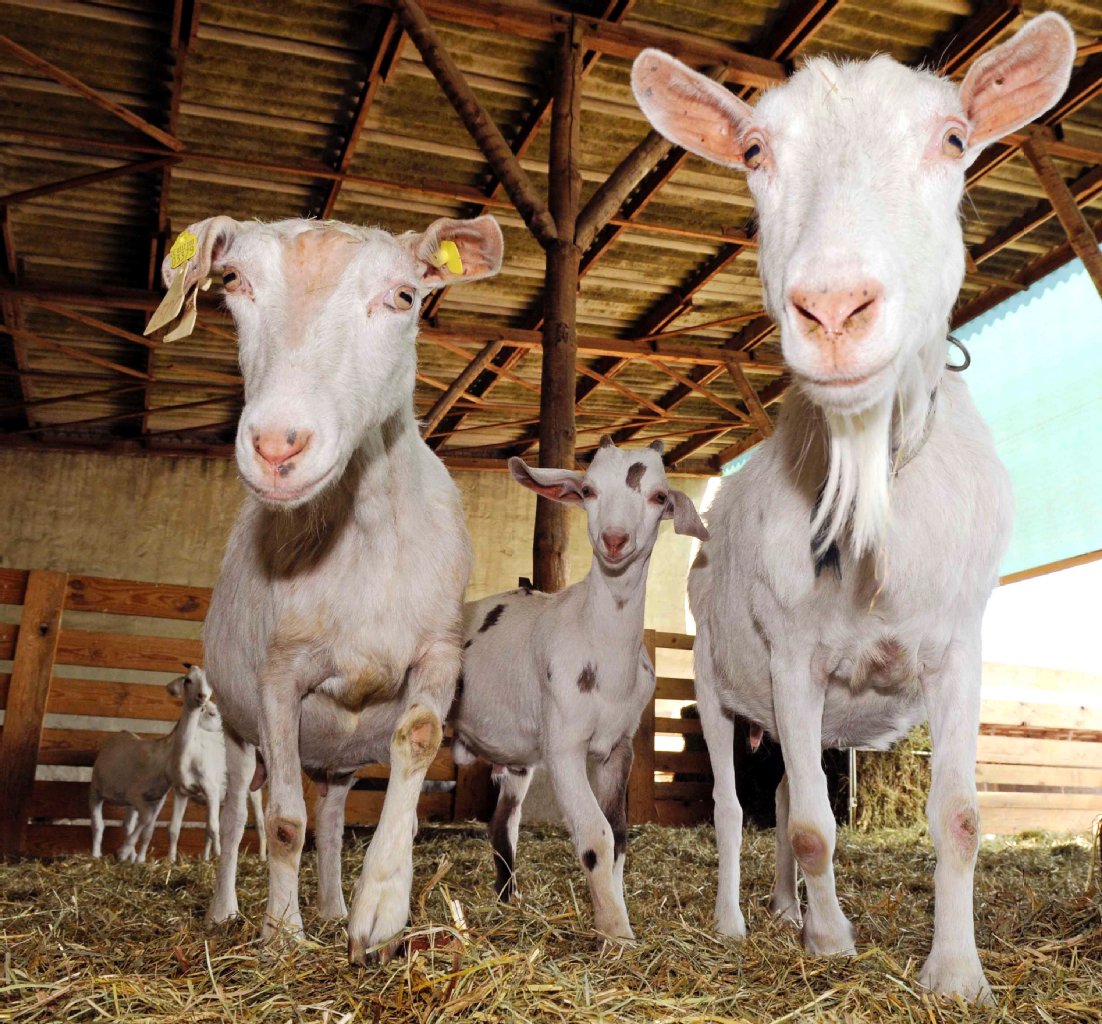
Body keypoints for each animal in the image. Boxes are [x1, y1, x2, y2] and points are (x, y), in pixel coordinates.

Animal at [146, 214, 502, 961]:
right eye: (233, 282)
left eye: (404, 295)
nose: (278, 445)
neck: (361, 535)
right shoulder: (279, 677)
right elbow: (282, 822)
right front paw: (282, 932)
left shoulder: (438, 652)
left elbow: (414, 748)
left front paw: (379, 912)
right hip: (234, 725)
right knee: (236, 812)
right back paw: (225, 911)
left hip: (337, 755)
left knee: (334, 818)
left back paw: (337, 906)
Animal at [450, 438, 707, 938]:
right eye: (588, 490)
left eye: (659, 496)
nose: (614, 539)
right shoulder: (563, 744)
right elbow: (594, 834)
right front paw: (616, 931)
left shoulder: (619, 747)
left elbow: (620, 833)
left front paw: (616, 912)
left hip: (517, 761)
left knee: (502, 823)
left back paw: (508, 901)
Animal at [632, 13, 1075, 1002]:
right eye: (754, 150)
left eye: (953, 138)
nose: (833, 308)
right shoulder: (791, 655)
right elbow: (806, 826)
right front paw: (832, 944)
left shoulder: (958, 645)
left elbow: (957, 816)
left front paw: (955, 973)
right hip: (713, 684)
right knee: (735, 806)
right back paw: (740, 922)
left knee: (784, 791)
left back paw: (786, 909)